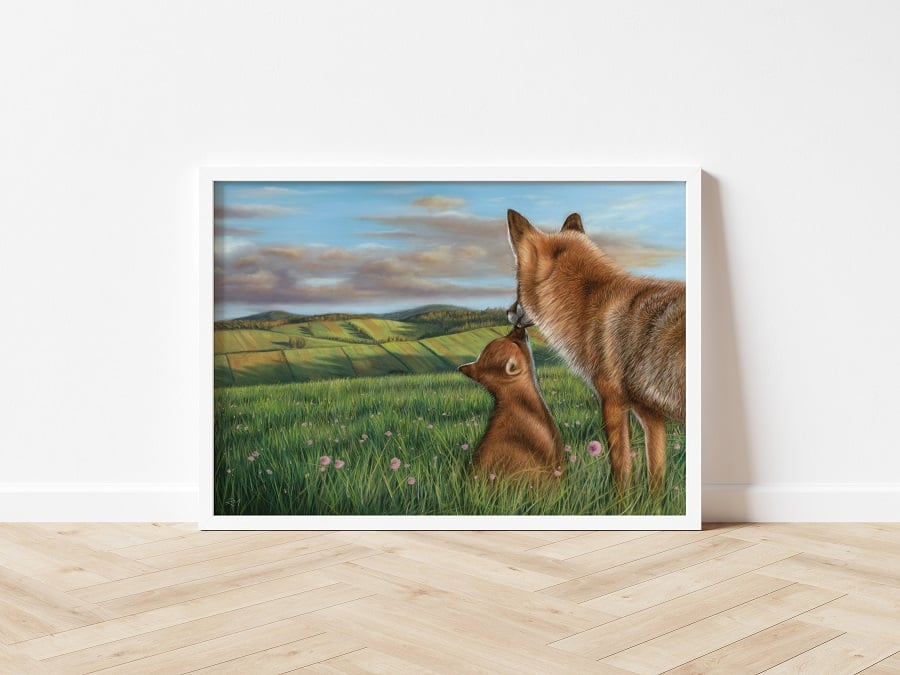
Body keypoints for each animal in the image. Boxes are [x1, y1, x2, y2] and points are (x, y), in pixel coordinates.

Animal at [506, 209, 685, 492]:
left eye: (516, 286)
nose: (508, 312)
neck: (592, 307)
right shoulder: (650, 413)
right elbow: (656, 476)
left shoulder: (612, 403)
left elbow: (621, 473)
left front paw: (620, 501)